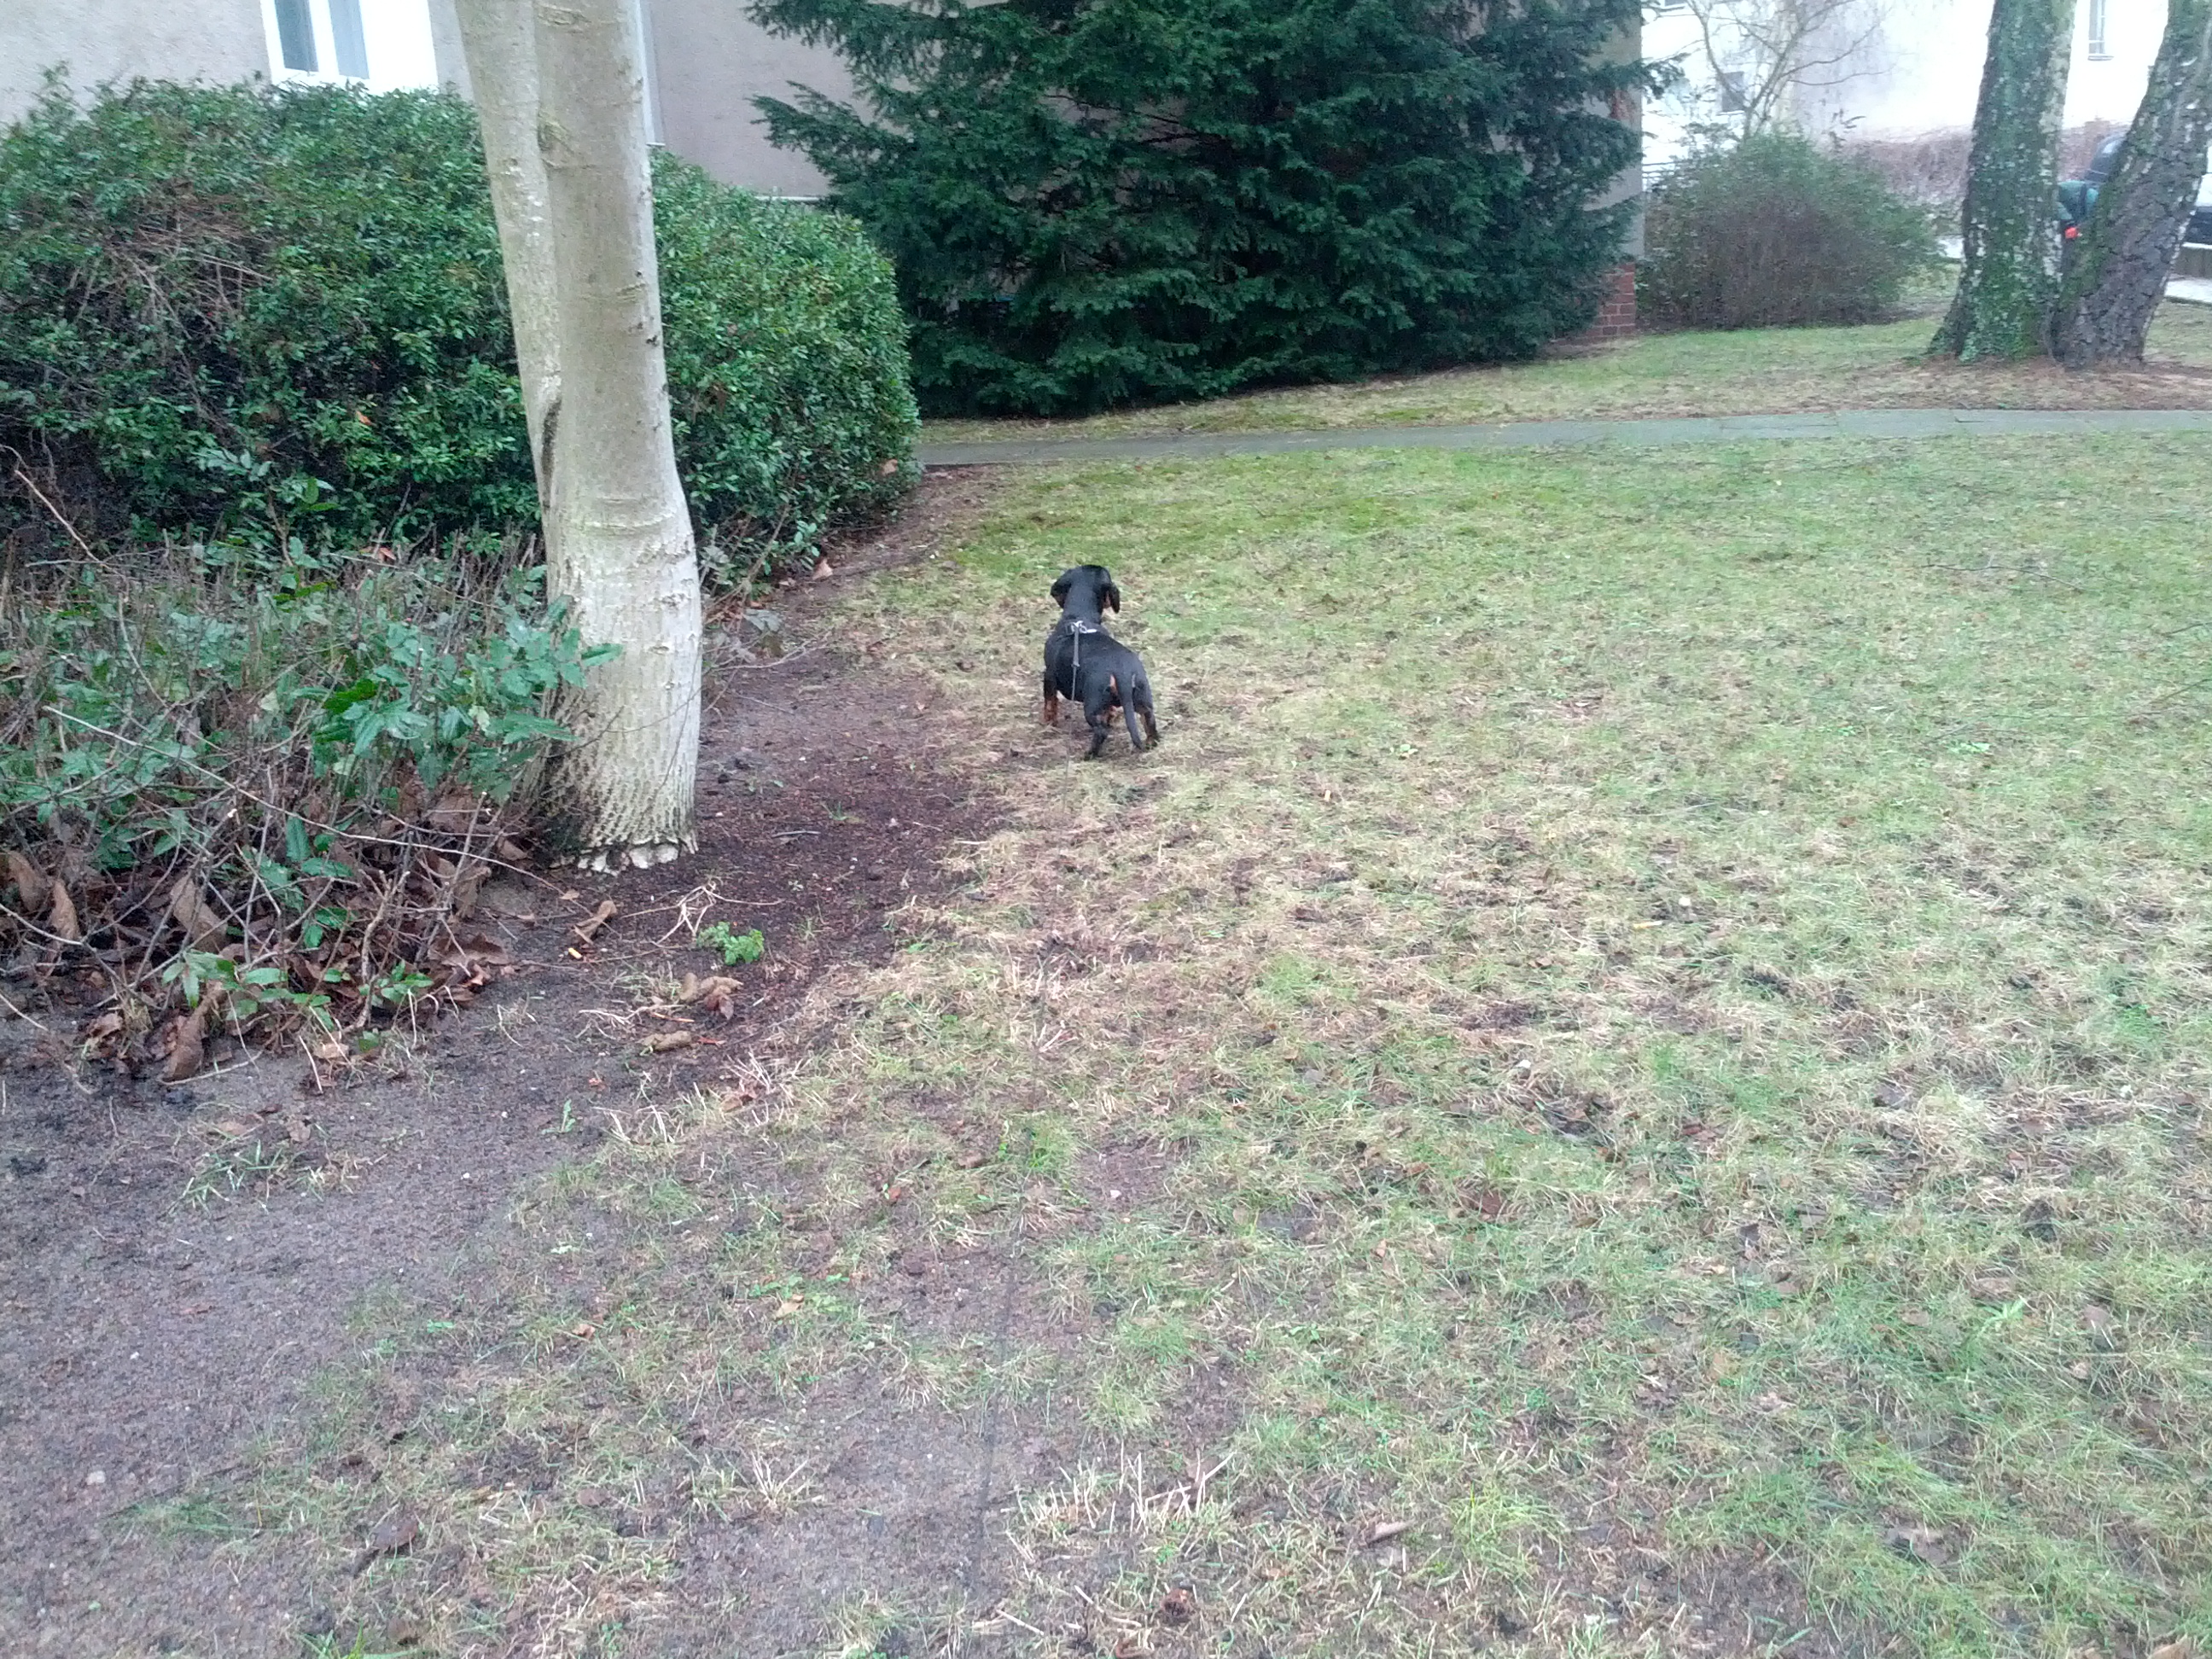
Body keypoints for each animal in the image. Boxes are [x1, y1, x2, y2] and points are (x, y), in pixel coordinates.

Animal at [1043, 564, 1160, 760]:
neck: (1079, 618)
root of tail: (1122, 672)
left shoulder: (1049, 676)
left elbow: (1050, 703)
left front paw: (1048, 723)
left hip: (1092, 704)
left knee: (1101, 731)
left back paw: (1089, 754)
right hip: (1142, 697)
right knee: (1149, 720)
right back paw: (1151, 743)